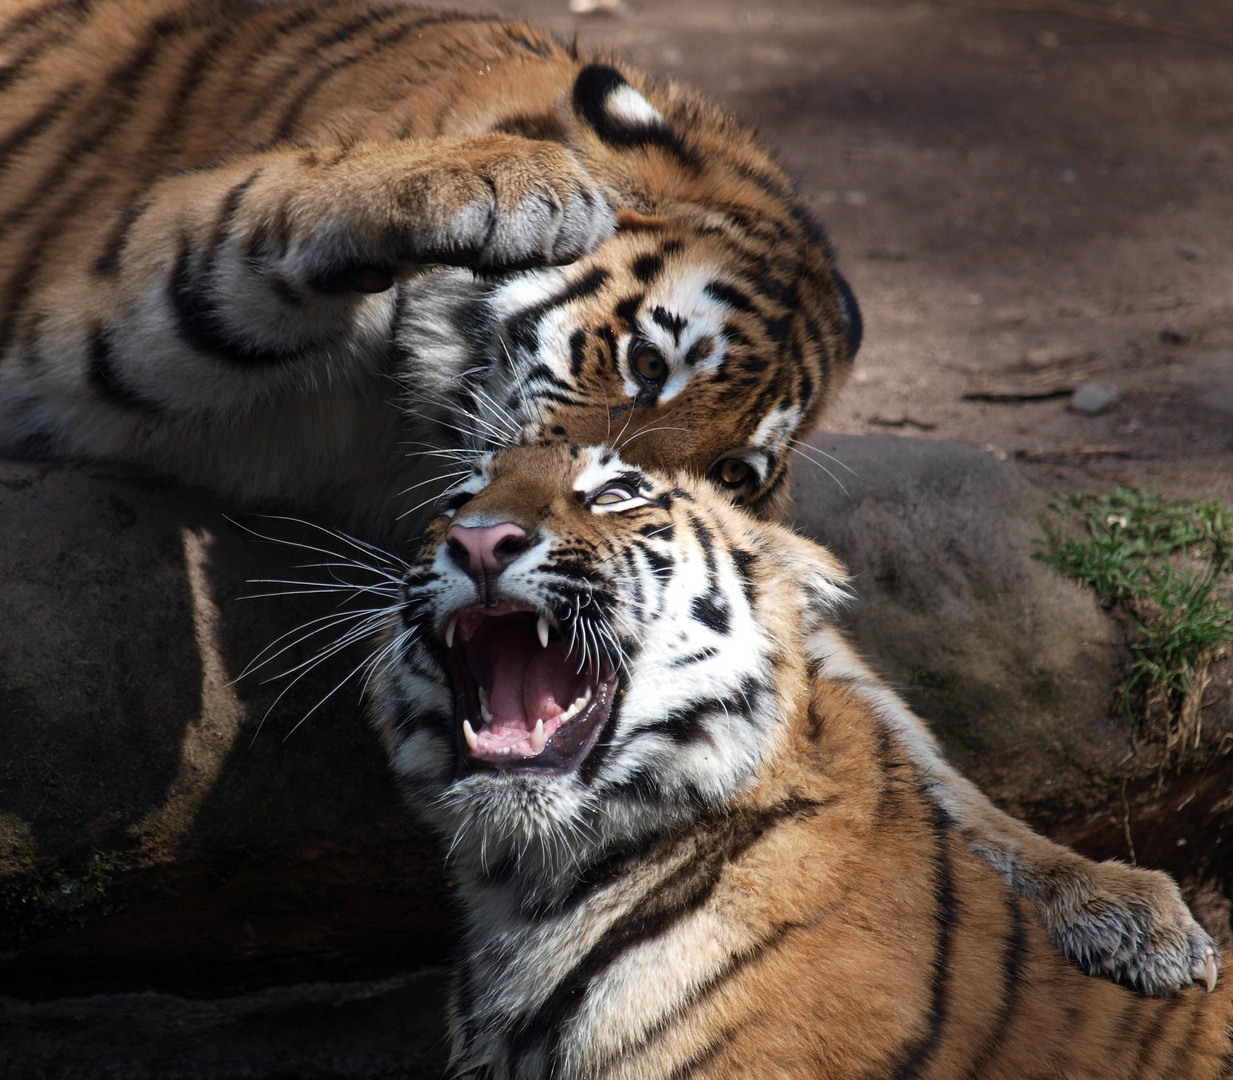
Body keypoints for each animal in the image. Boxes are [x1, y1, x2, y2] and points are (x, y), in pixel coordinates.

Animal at [0, 0, 1213, 996]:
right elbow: (268, 204)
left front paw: (1112, 898)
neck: (400, 421)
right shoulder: (116, 296)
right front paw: (500, 184)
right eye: (643, 363)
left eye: (735, 474)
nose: (589, 506)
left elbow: (897, 737)